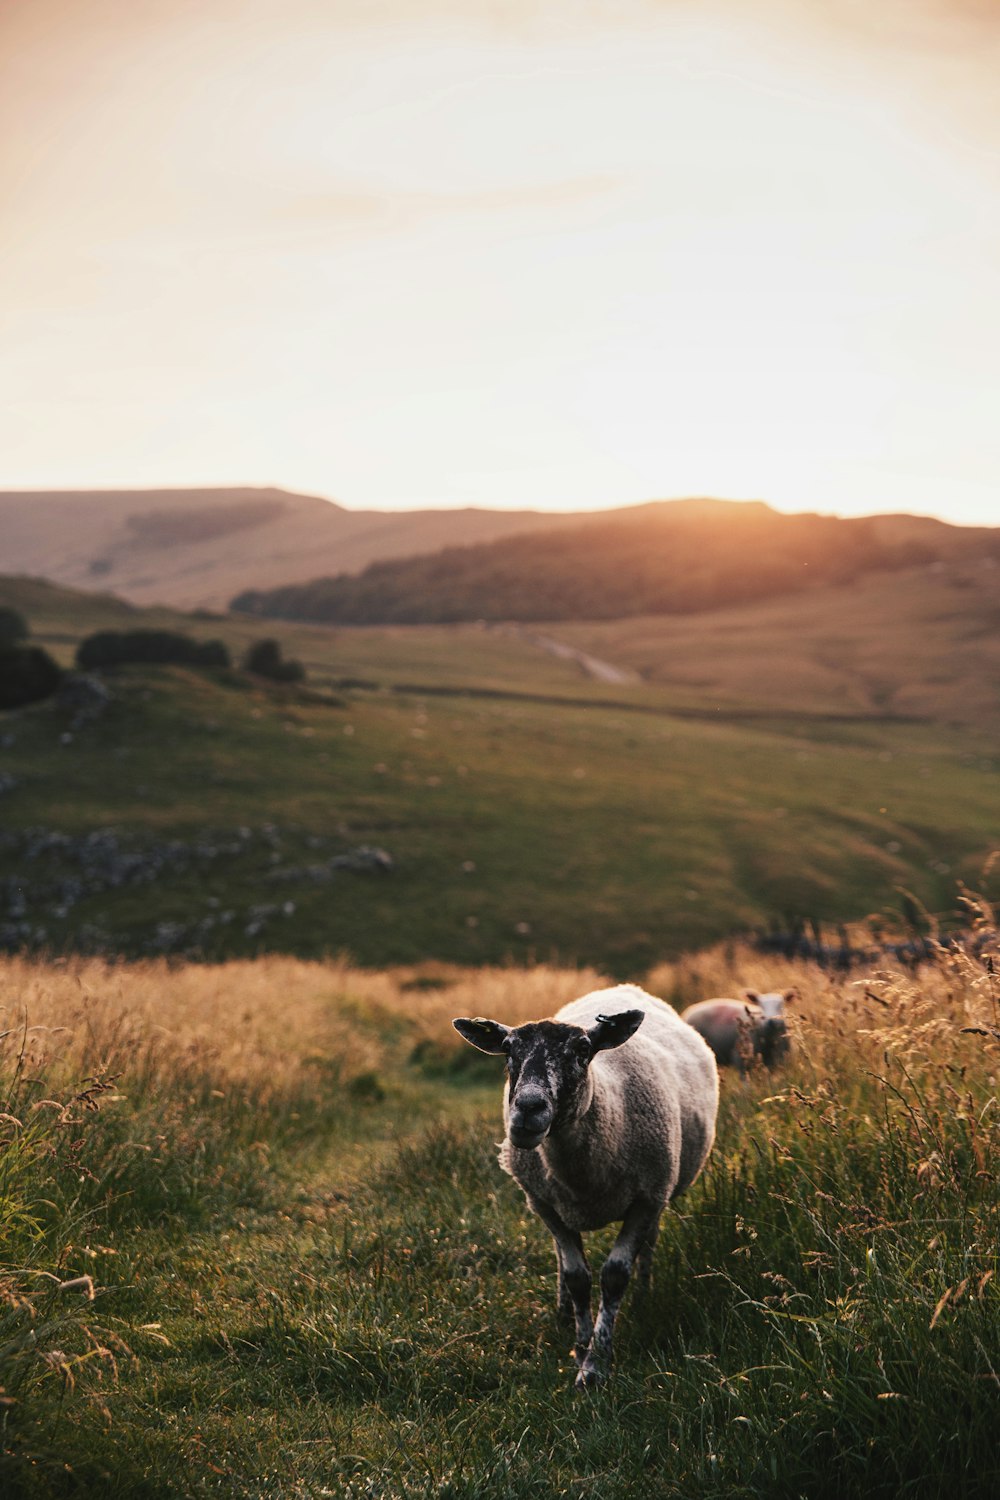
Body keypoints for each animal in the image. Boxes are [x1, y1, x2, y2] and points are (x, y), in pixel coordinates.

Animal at [452, 978, 719, 1386]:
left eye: (581, 1050)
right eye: (508, 1050)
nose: (528, 1109)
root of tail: (627, 986)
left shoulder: (646, 1199)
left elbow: (614, 1277)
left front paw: (596, 1364)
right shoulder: (546, 1204)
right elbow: (577, 1276)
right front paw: (580, 1348)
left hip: (661, 1190)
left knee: (649, 1245)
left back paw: (643, 1295)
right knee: (561, 1257)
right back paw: (563, 1311)